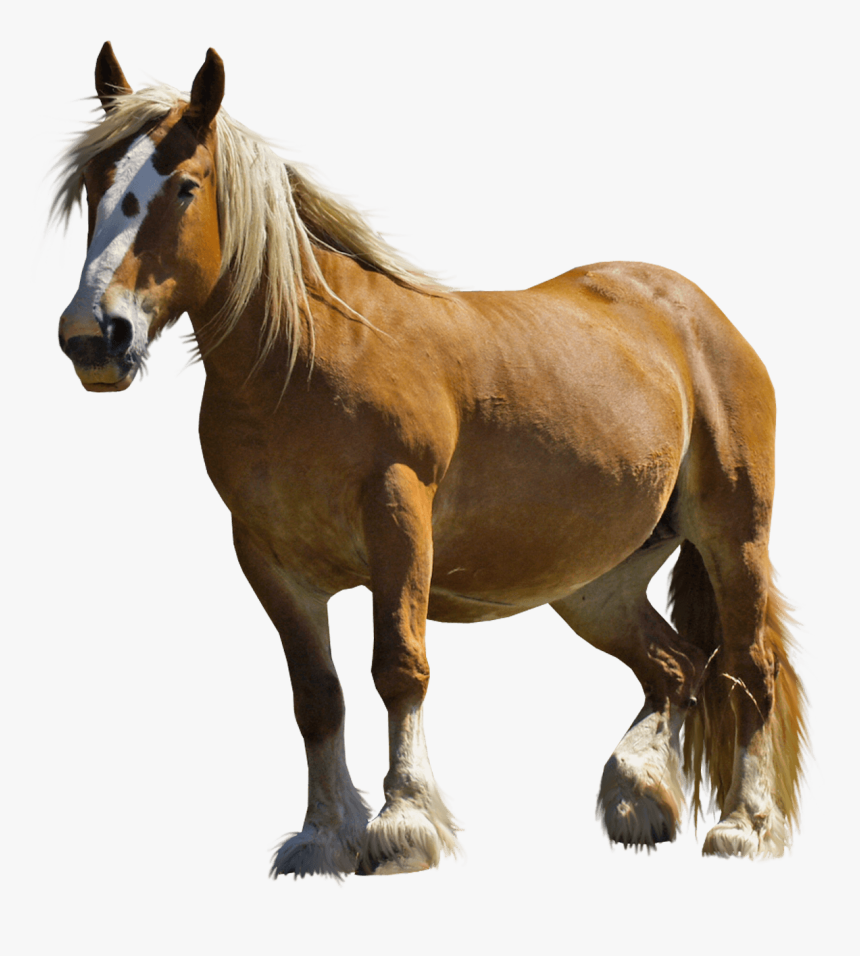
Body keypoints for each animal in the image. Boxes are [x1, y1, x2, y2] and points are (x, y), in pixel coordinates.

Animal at [54, 43, 805, 876]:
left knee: (748, 671)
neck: (306, 360)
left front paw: (403, 823)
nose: (94, 336)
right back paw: (637, 797)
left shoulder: (398, 518)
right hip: (596, 583)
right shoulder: (269, 559)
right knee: (677, 667)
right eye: (94, 187)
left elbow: (398, 667)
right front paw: (323, 836)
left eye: (184, 187)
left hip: (733, 536)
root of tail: (697, 314)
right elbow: (316, 695)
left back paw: (743, 827)